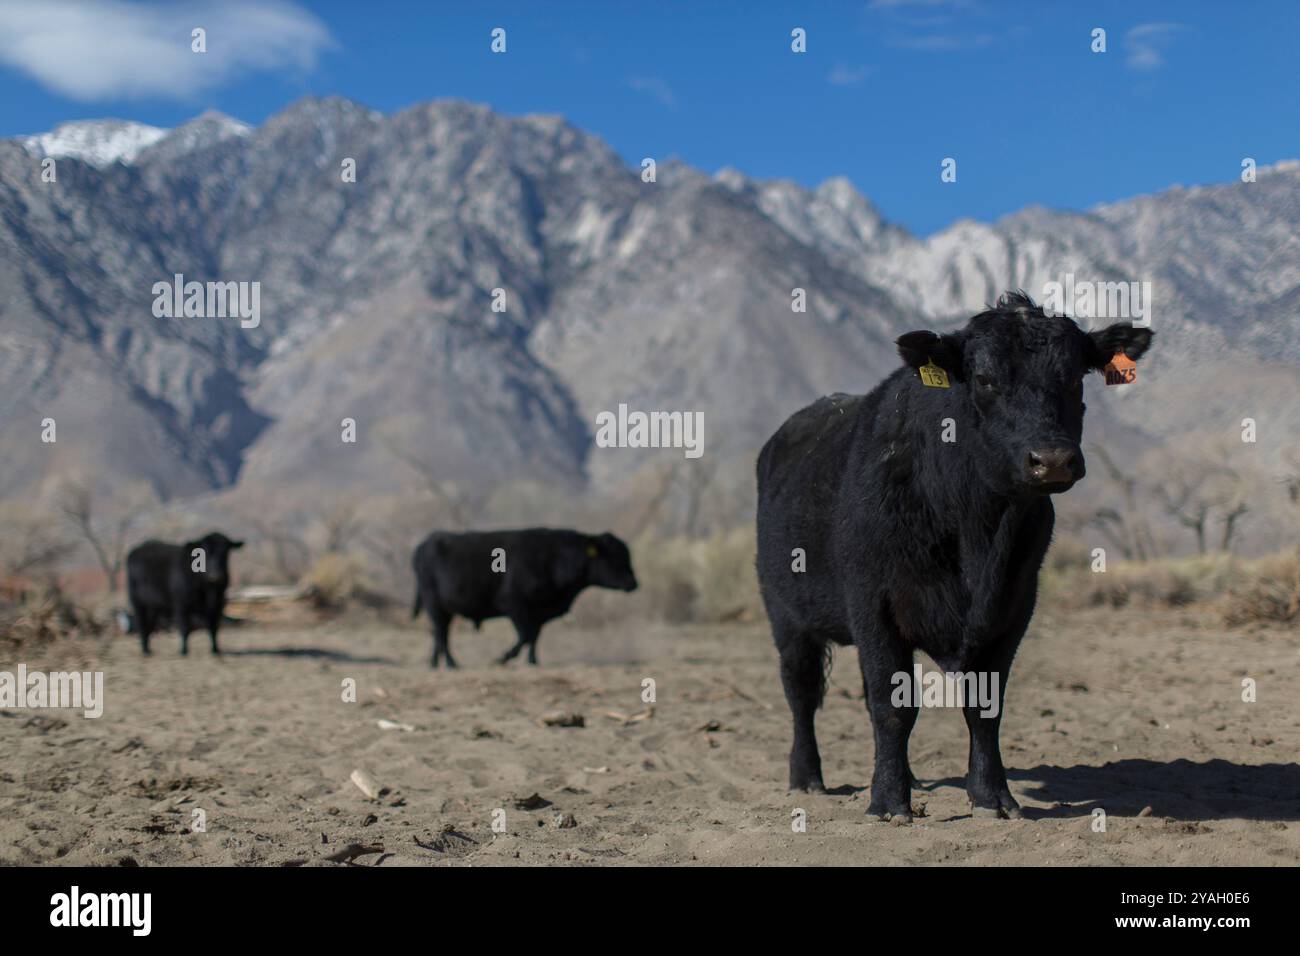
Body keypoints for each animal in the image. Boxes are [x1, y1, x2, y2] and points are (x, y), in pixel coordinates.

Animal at [126, 530, 244, 658]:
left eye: (225, 552)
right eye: (205, 550)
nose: (215, 575)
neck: (208, 589)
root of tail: (136, 550)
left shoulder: (217, 605)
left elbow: (213, 627)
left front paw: (215, 650)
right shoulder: (181, 605)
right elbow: (185, 628)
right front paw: (184, 651)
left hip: (153, 606)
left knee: (149, 625)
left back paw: (148, 649)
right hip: (138, 603)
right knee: (141, 624)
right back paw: (145, 651)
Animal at [408, 528, 637, 671]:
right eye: (615, 557)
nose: (634, 583)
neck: (554, 558)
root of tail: (425, 543)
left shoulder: (540, 611)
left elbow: (534, 636)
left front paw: (533, 661)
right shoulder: (513, 604)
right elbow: (525, 635)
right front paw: (503, 658)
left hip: (443, 608)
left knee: (439, 633)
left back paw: (435, 664)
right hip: (433, 603)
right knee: (441, 634)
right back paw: (451, 664)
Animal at [759, 291, 1154, 822]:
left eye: (1074, 376)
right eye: (984, 378)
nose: (1051, 460)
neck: (976, 530)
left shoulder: (1012, 607)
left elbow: (984, 706)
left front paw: (992, 797)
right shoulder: (872, 605)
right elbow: (891, 706)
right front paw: (888, 802)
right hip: (787, 618)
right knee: (801, 693)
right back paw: (807, 779)